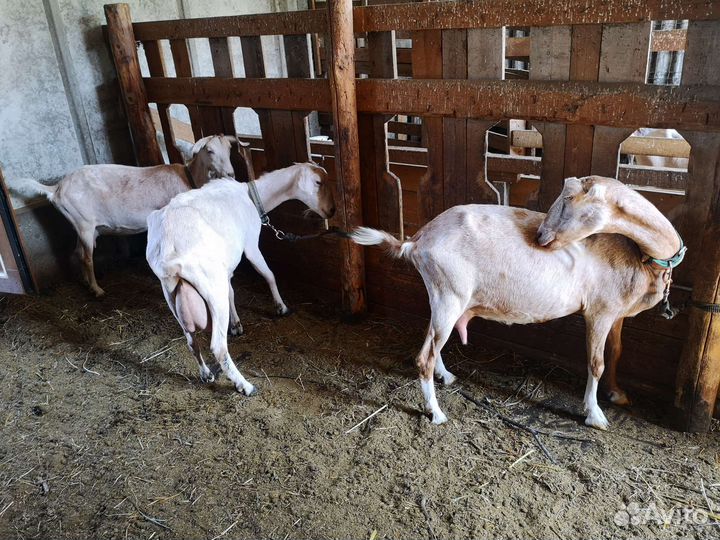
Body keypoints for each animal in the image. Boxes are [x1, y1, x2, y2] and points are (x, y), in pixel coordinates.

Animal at [12, 135, 237, 297]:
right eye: (209, 151)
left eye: (229, 149)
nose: (230, 174)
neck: (188, 178)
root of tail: (57, 188)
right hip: (84, 223)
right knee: (86, 257)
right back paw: (97, 290)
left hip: (81, 224)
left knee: (77, 252)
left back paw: (86, 282)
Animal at [146, 162, 335, 394]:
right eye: (318, 182)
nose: (332, 210)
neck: (251, 195)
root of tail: (167, 249)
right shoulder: (251, 245)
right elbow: (269, 274)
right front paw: (281, 307)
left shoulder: (226, 264)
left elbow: (232, 291)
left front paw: (236, 324)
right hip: (210, 282)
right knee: (218, 346)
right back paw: (245, 386)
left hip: (171, 292)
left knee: (191, 341)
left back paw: (206, 374)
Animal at [351, 176, 684, 429]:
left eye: (567, 199)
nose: (540, 236)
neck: (638, 253)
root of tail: (417, 240)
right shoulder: (599, 311)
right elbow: (596, 363)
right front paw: (595, 415)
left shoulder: (616, 313)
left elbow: (615, 353)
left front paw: (617, 394)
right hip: (450, 293)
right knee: (424, 357)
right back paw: (436, 413)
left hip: (443, 297)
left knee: (431, 339)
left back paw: (445, 376)